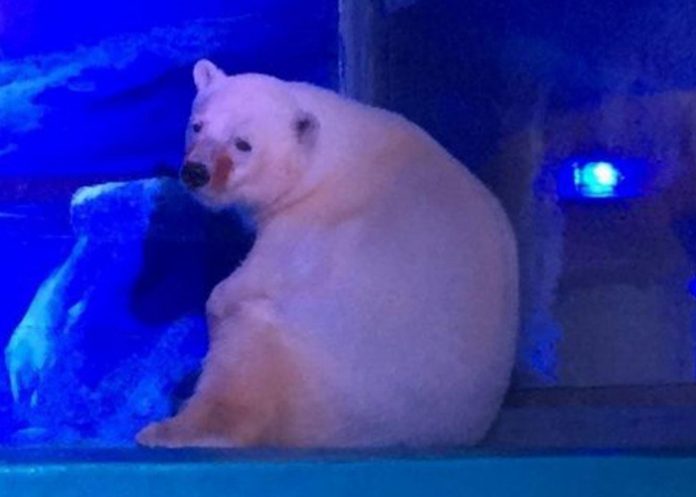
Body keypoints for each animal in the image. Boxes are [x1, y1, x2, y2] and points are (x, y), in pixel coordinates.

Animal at [136, 59, 518, 448]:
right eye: (197, 125)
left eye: (243, 144)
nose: (196, 172)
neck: (338, 155)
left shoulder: (311, 223)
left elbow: (258, 278)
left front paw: (216, 303)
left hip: (305, 364)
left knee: (245, 356)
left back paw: (169, 428)